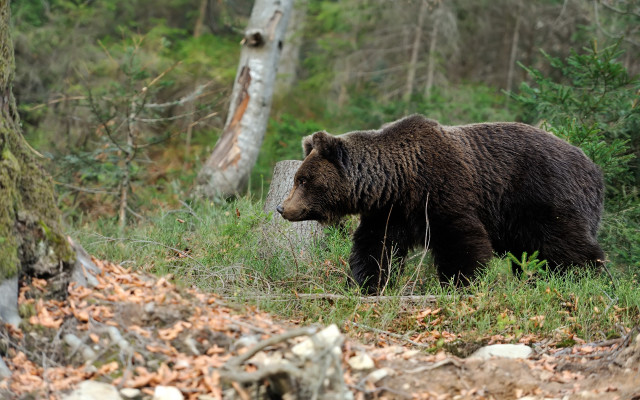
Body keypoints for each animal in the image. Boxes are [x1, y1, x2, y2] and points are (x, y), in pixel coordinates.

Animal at [276, 114, 605, 293]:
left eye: (303, 180)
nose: (282, 208)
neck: (399, 181)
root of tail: (594, 169)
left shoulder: (443, 191)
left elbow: (462, 242)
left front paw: (461, 283)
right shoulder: (389, 212)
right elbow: (375, 248)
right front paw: (364, 284)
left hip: (542, 196)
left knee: (565, 244)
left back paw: (588, 279)